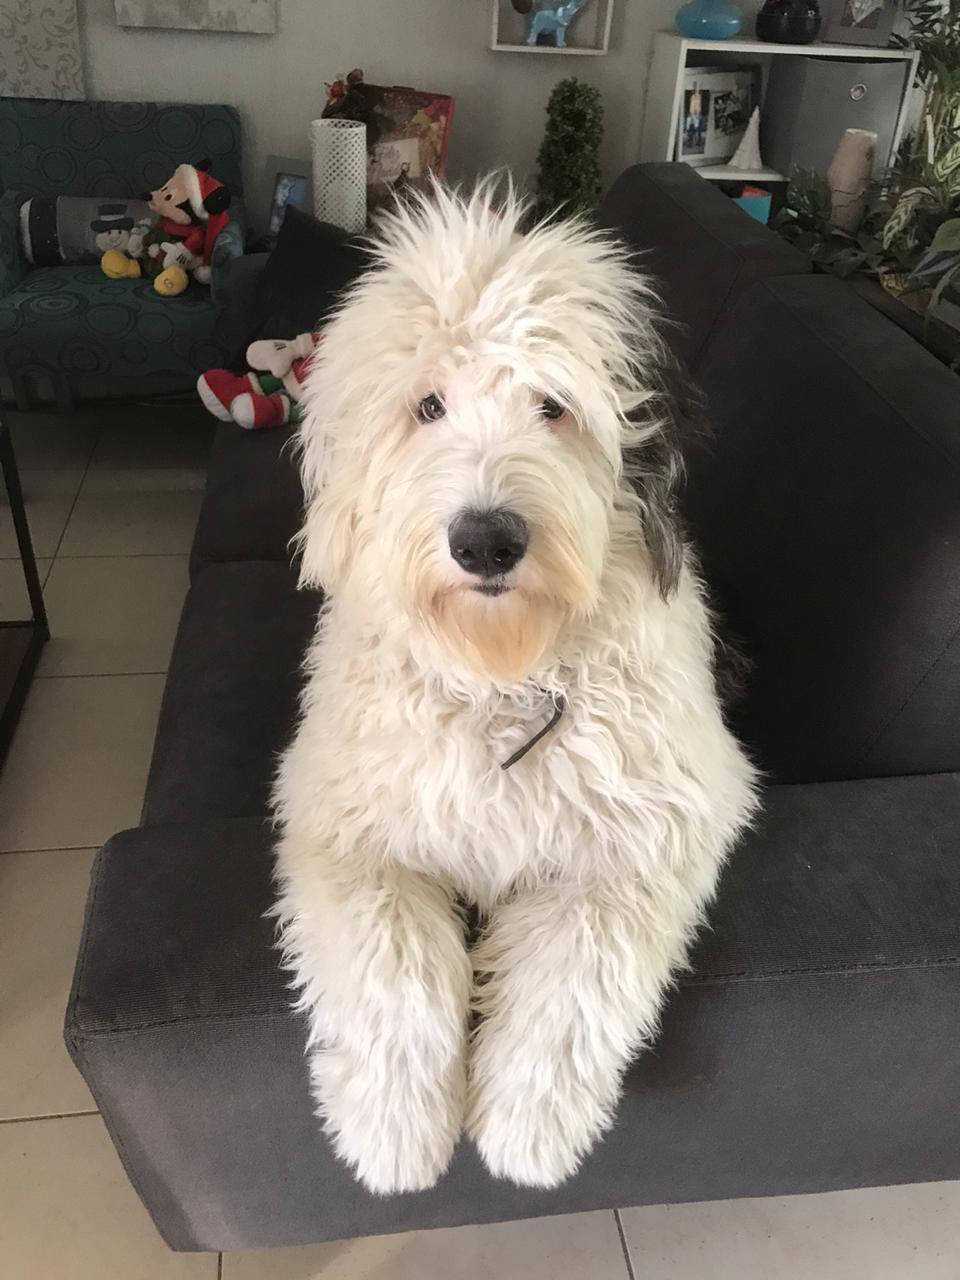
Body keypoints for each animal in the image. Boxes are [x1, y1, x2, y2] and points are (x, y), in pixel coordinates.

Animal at [272, 185, 757, 1192]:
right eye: (427, 404)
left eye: (552, 405)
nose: (486, 540)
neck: (505, 675)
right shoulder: (343, 822)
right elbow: (389, 965)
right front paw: (393, 1134)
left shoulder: (652, 833)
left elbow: (577, 977)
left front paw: (527, 1132)